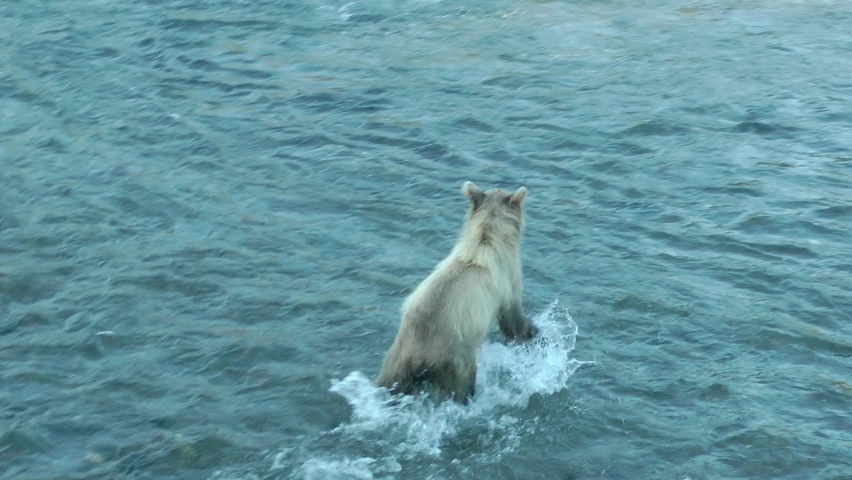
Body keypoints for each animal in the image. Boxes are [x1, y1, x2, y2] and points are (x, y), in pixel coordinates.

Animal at [375, 181, 538, 404]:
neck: (487, 238)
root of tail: (418, 358)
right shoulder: (507, 279)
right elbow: (512, 314)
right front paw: (531, 331)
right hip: (455, 358)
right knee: (463, 382)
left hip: (396, 360)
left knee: (387, 383)